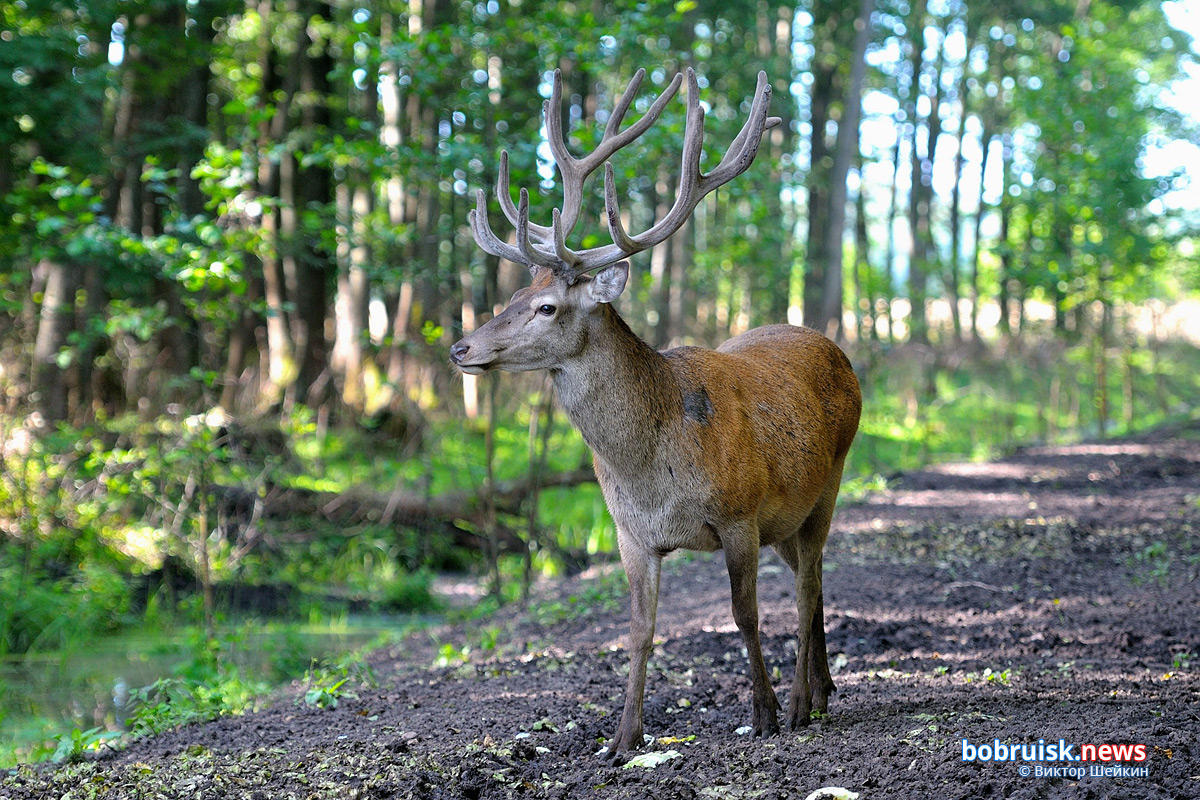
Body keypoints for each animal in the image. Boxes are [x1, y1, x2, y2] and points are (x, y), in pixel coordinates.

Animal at [451, 67, 864, 758]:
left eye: (547, 308)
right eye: (515, 295)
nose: (461, 348)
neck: (649, 465)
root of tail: (835, 347)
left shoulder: (738, 514)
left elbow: (744, 615)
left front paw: (764, 714)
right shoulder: (630, 533)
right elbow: (640, 629)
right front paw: (623, 739)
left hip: (825, 487)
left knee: (807, 588)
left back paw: (802, 702)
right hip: (789, 516)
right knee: (818, 585)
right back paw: (826, 690)